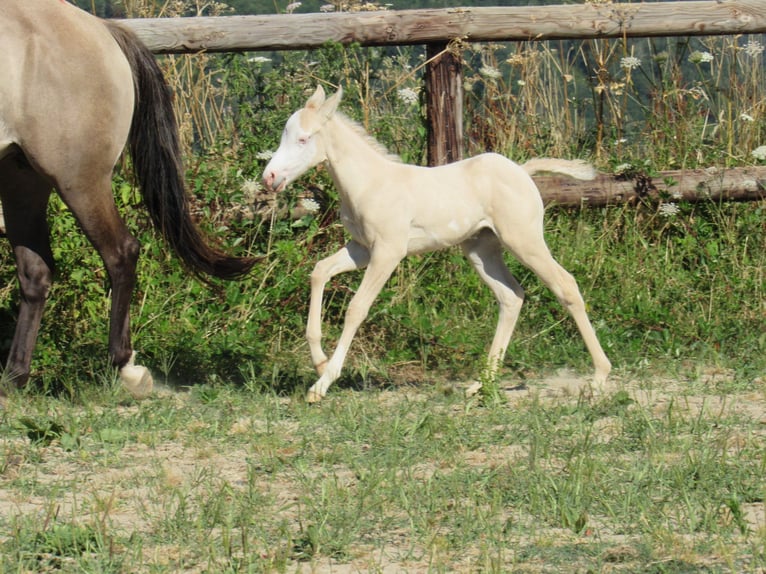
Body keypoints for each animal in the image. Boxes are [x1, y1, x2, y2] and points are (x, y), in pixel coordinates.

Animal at [0, 0, 255, 399]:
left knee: (121, 253)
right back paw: (13, 379)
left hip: (79, 180)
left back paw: (125, 367)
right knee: (35, 272)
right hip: (21, 177)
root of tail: (102, 29)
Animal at [263, 85, 611, 402]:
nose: (270, 177)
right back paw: (481, 384)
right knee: (511, 296)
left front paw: (322, 384)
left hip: (524, 240)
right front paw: (320, 363)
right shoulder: (361, 248)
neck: (370, 183)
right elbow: (319, 271)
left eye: (304, 139)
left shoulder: (388, 251)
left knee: (565, 285)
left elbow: (357, 308)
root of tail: (524, 172)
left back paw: (598, 376)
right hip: (481, 249)